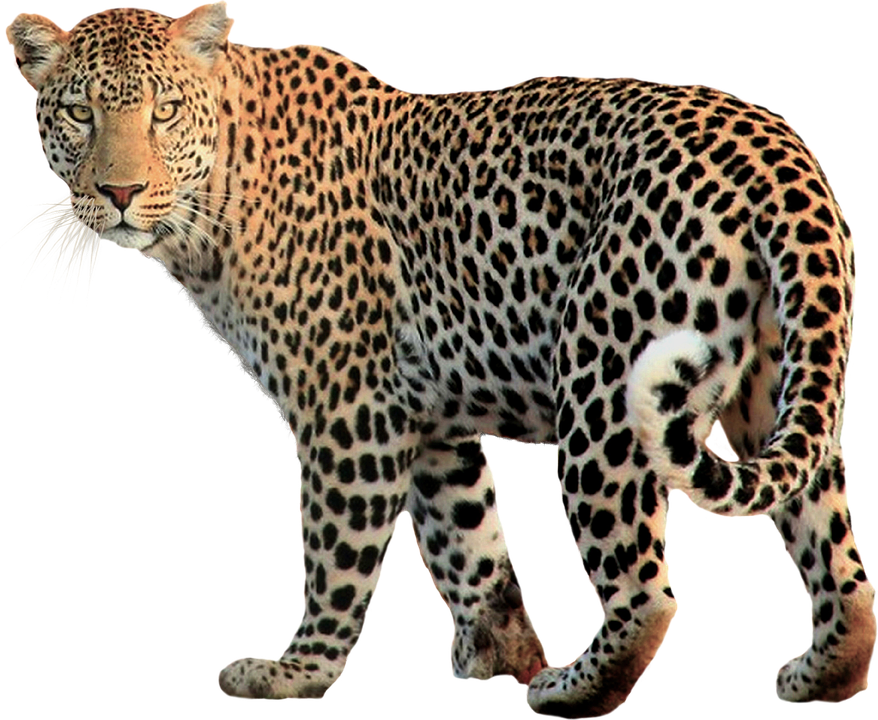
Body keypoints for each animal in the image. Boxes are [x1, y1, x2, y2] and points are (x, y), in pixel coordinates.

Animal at [5, 3, 874, 716]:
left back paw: (575, 689)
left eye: (165, 111)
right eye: (80, 114)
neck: (212, 204)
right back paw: (822, 673)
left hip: (603, 380)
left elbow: (335, 551)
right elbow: (472, 548)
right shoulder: (428, 424)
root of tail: (777, 155)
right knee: (839, 559)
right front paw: (505, 656)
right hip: (779, 384)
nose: (120, 193)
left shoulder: (348, 410)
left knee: (646, 588)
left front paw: (298, 671)